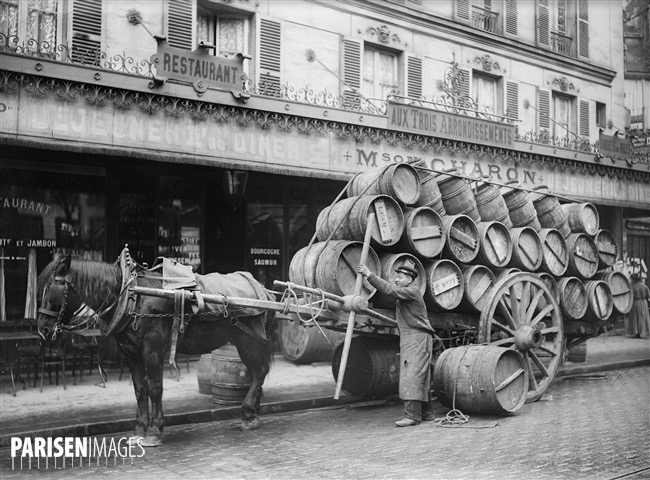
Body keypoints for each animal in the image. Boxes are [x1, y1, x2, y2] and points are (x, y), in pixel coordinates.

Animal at [37, 250, 277, 447]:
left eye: (52, 290)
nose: (43, 329)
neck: (132, 295)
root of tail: (265, 292)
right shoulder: (130, 352)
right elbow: (140, 389)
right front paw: (139, 430)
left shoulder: (151, 350)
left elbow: (155, 388)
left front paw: (154, 431)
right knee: (256, 373)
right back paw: (252, 413)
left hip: (249, 342)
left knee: (259, 372)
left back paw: (248, 413)